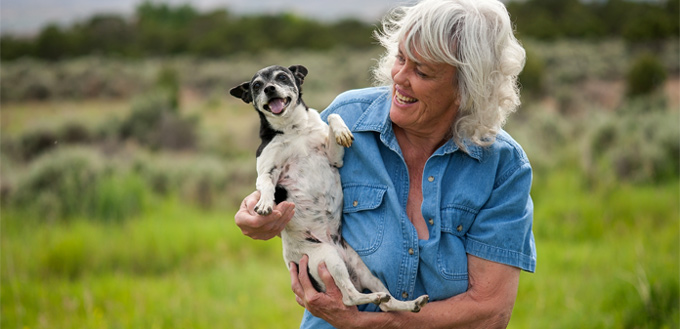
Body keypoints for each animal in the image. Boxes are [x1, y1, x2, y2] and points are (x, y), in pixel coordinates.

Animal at [231, 64, 428, 312]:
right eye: (256, 85)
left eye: (282, 77)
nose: (269, 89)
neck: (293, 129)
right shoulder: (267, 169)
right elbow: (266, 184)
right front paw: (265, 203)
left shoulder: (334, 158)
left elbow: (334, 116)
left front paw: (341, 131)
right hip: (329, 259)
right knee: (349, 298)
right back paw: (374, 297)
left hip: (362, 268)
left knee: (385, 303)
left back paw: (409, 303)